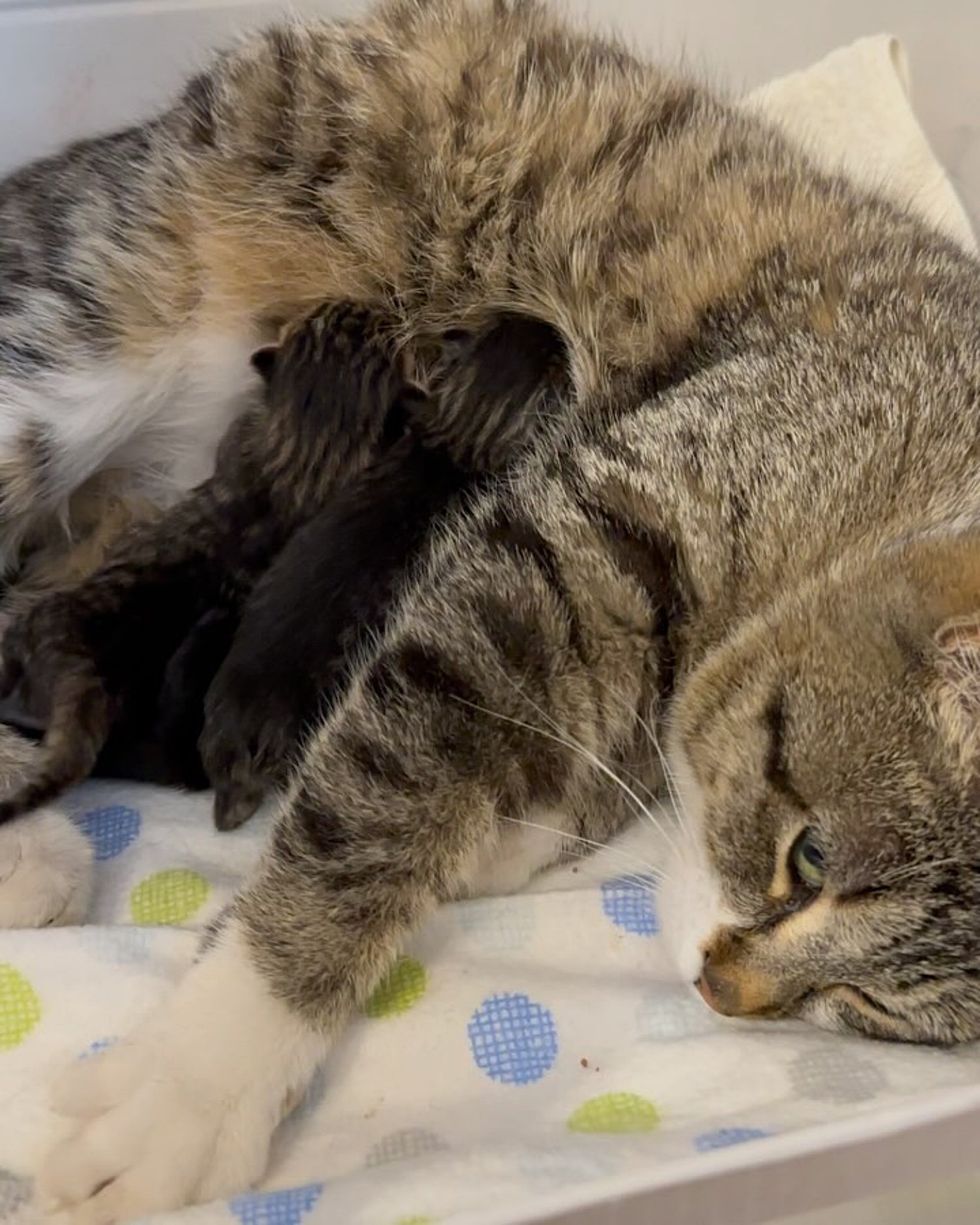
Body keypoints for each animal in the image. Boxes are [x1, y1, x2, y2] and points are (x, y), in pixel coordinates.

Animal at [0, 0, 975, 1215]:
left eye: (872, 1009)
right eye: (810, 857)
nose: (719, 987)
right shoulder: (575, 527)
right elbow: (382, 800)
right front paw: (204, 1070)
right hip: (76, 330)